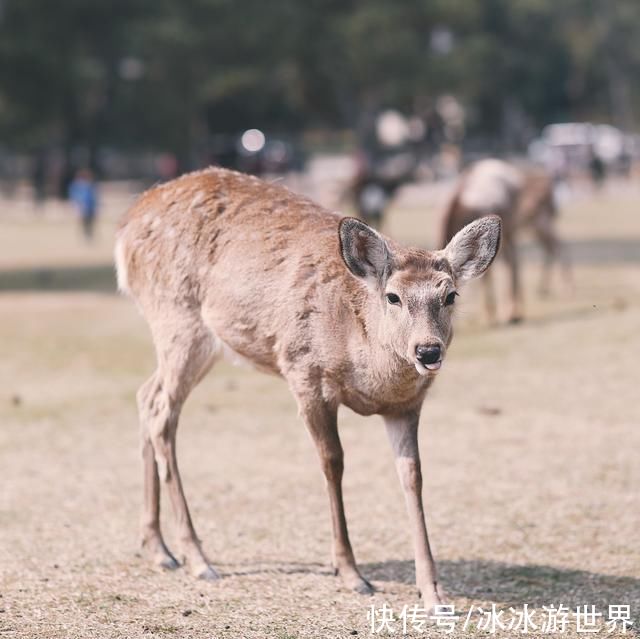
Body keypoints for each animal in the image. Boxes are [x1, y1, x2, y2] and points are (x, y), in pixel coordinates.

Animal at [115, 168, 502, 612]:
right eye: (393, 296)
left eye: (450, 295)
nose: (428, 351)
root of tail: (125, 230)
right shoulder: (304, 372)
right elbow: (332, 462)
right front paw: (350, 573)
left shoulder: (406, 405)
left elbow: (413, 474)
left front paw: (433, 593)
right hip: (178, 320)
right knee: (162, 412)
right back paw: (197, 557)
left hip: (194, 341)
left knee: (146, 396)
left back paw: (159, 549)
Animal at [442, 158, 572, 322]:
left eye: (451, 296)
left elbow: (486, 276)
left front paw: (490, 317)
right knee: (535, 252)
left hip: (533, 222)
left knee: (550, 247)